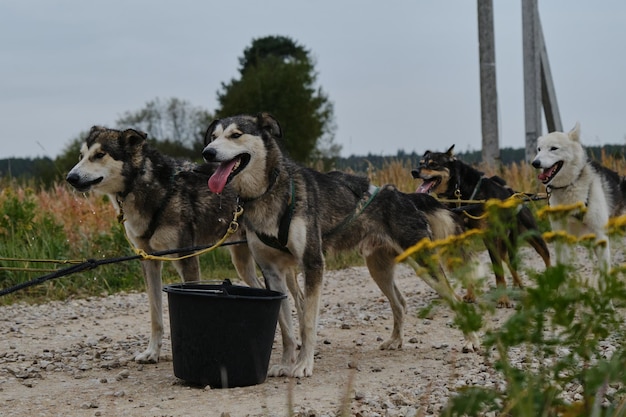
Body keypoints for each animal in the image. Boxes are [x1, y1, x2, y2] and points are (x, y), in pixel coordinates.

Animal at [67, 127, 262, 364]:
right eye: (81, 156)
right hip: (243, 262)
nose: (71, 177)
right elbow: (155, 316)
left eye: (99, 154)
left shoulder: (186, 259)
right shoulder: (148, 260)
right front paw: (152, 352)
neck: (153, 188)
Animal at [201, 113, 478, 376]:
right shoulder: (272, 272)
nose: (207, 153)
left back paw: (471, 341)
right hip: (378, 269)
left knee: (455, 299)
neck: (267, 192)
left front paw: (303, 365)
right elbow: (285, 327)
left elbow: (307, 323)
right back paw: (396, 340)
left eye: (236, 135)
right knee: (399, 303)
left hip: (424, 265)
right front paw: (286, 363)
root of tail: (404, 195)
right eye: (213, 136)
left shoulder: (313, 263)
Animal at [412, 145, 548, 306]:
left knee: (546, 257)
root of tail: (516, 194)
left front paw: (503, 299)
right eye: (421, 163)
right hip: (503, 245)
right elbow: (467, 267)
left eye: (433, 164)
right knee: (510, 263)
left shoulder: (489, 237)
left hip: (532, 237)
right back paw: (517, 286)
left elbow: (498, 273)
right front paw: (471, 295)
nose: (414, 172)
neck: (461, 192)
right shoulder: (461, 237)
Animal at [532, 122, 624, 272]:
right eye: (539, 149)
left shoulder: (600, 235)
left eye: (553, 148)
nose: (535, 163)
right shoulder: (561, 238)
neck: (570, 186)